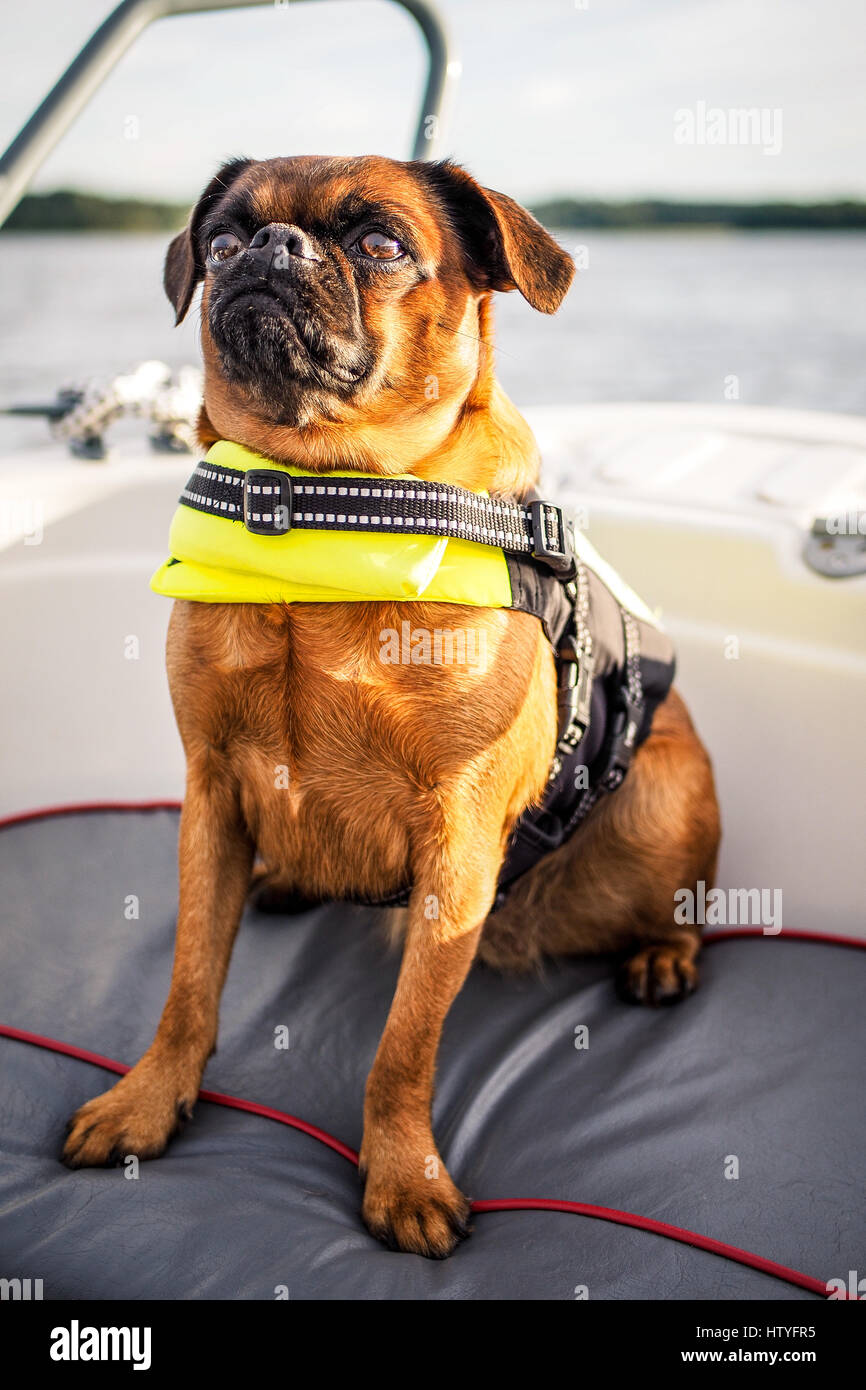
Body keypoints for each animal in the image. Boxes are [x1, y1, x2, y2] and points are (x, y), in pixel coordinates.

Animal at [64, 154, 722, 1262]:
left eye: (378, 243)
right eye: (223, 241)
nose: (271, 247)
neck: (314, 503)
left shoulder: (455, 842)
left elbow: (404, 1045)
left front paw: (402, 1175)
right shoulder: (211, 794)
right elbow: (189, 983)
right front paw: (149, 1102)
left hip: (663, 797)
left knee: (686, 897)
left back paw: (661, 955)